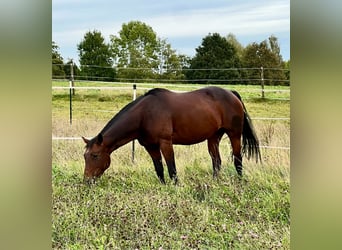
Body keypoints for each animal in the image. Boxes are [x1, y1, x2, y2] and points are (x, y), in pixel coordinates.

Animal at [81, 87, 260, 185]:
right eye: (85, 156)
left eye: (95, 155)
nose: (87, 181)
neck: (144, 114)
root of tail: (231, 93)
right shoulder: (150, 146)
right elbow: (159, 169)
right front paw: (163, 186)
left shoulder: (165, 143)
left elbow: (171, 168)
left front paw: (176, 187)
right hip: (213, 137)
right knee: (217, 162)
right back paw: (214, 183)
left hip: (234, 134)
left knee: (238, 160)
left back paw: (239, 183)